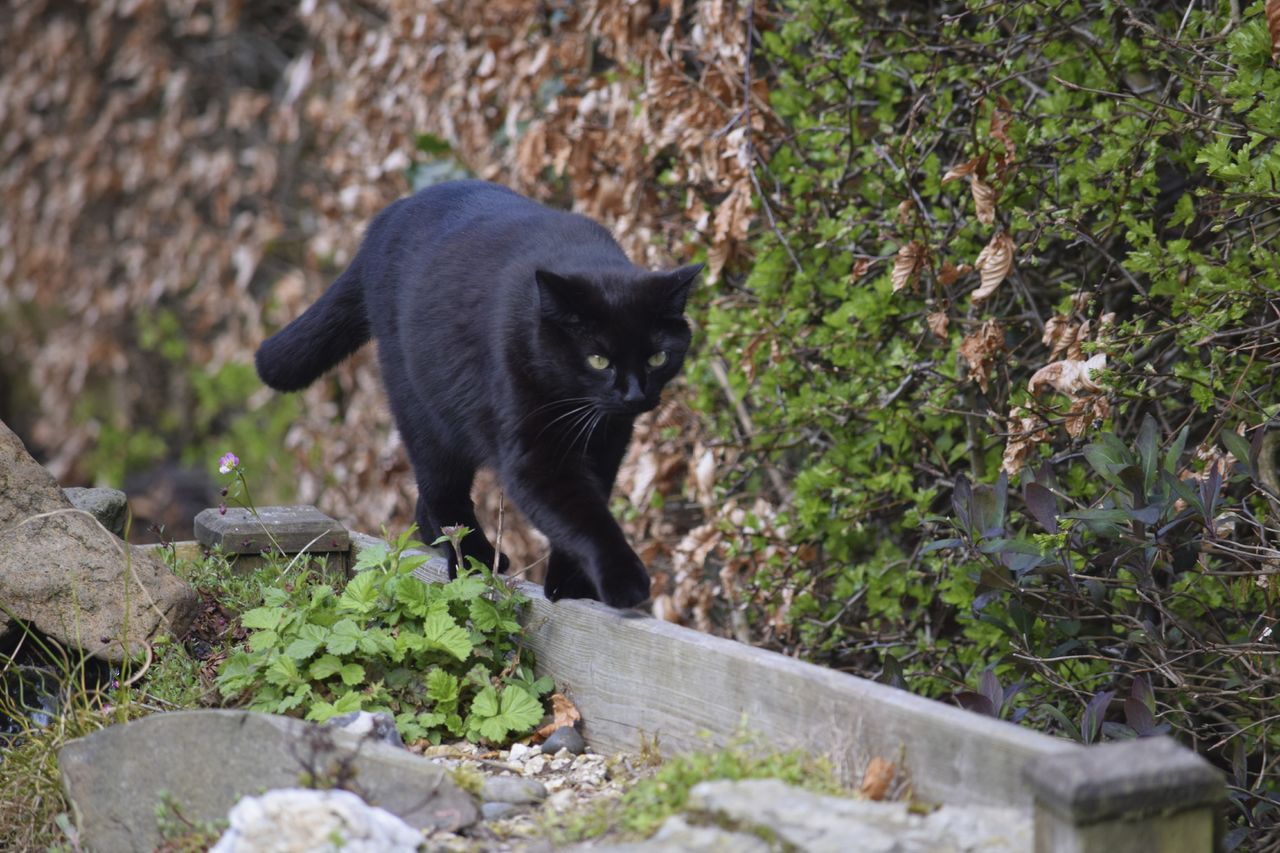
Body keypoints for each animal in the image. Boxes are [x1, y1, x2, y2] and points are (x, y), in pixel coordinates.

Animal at [254, 179, 701, 607]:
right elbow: (582, 517)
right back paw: (473, 559)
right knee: (442, 490)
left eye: (658, 357)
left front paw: (570, 584)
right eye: (598, 360)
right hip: (422, 409)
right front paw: (624, 580)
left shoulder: (609, 444)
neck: (575, 405)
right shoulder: (535, 454)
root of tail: (389, 217)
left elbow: (586, 510)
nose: (634, 396)